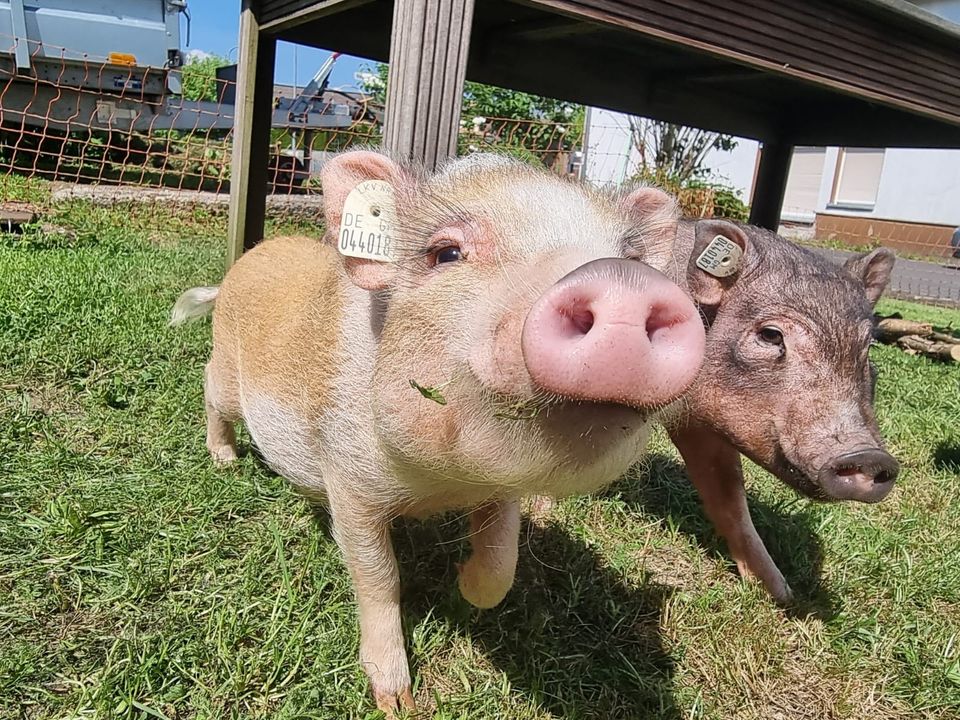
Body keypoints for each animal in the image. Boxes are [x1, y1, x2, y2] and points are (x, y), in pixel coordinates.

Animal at [172, 149, 708, 712]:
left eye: (633, 260)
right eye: (446, 253)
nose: (625, 283)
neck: (440, 485)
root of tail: (247, 260)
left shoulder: (499, 489)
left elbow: (502, 560)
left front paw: (465, 589)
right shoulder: (348, 480)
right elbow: (379, 577)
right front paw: (397, 703)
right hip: (229, 376)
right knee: (209, 386)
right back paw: (224, 460)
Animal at [656, 219, 896, 600]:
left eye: (868, 345)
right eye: (770, 335)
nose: (869, 455)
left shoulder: (698, 423)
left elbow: (731, 501)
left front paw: (781, 593)